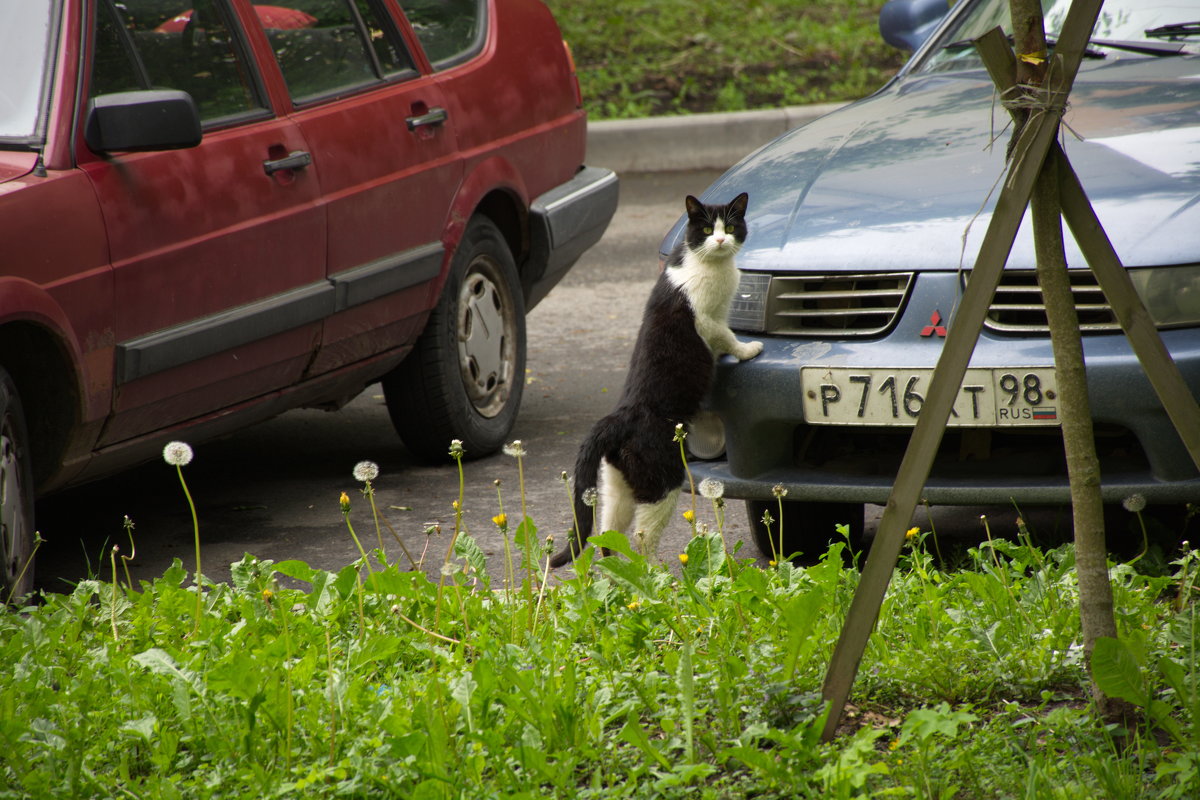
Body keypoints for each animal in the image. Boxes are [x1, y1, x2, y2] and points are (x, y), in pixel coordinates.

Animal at [549, 194, 763, 568]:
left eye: (730, 225)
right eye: (706, 230)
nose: (721, 239)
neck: (712, 266)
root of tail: (618, 418)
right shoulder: (705, 319)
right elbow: (727, 335)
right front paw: (748, 349)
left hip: (617, 485)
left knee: (609, 534)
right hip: (662, 481)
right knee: (642, 537)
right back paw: (658, 577)